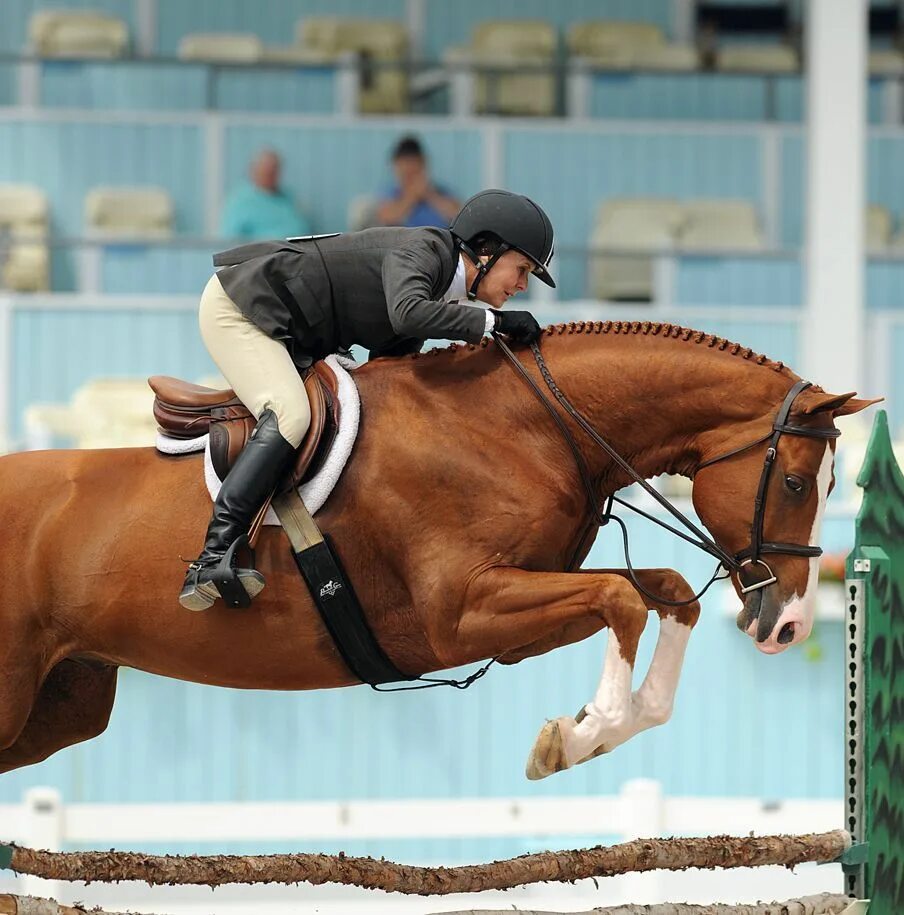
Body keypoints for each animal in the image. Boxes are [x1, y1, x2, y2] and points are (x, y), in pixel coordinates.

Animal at [0, 322, 880, 780]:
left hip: (62, 705)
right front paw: (579, 735)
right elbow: (623, 598)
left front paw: (597, 728)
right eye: (796, 481)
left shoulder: (514, 609)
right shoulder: (461, 612)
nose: (789, 624)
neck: (528, 425)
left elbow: (658, 590)